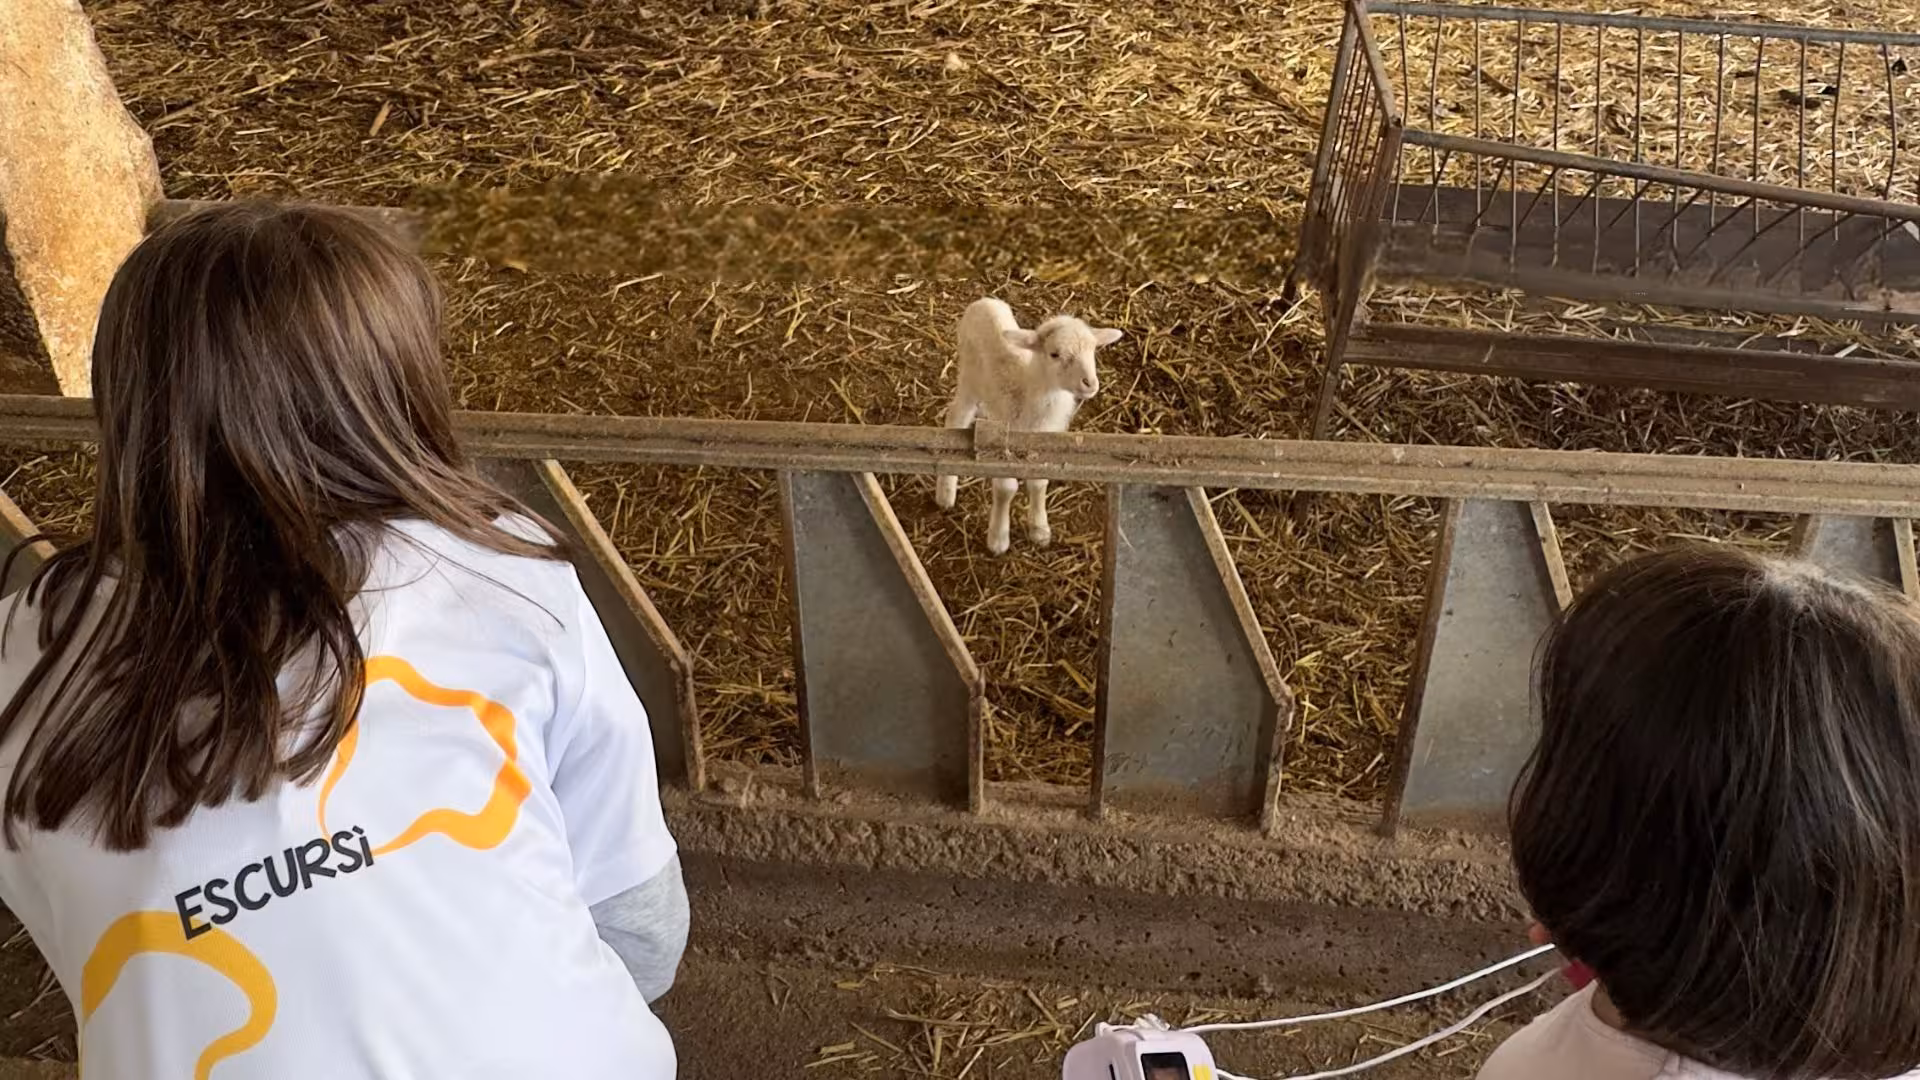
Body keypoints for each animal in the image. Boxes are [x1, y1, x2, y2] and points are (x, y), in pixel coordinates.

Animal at [934, 298, 1124, 555]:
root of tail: (984, 301)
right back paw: (945, 493)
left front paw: (1040, 530)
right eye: (1054, 354)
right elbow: (1006, 488)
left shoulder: (1043, 443)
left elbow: (1039, 482)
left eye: (1093, 350)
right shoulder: (1004, 446)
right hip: (969, 378)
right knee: (955, 417)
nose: (1090, 383)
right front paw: (998, 539)